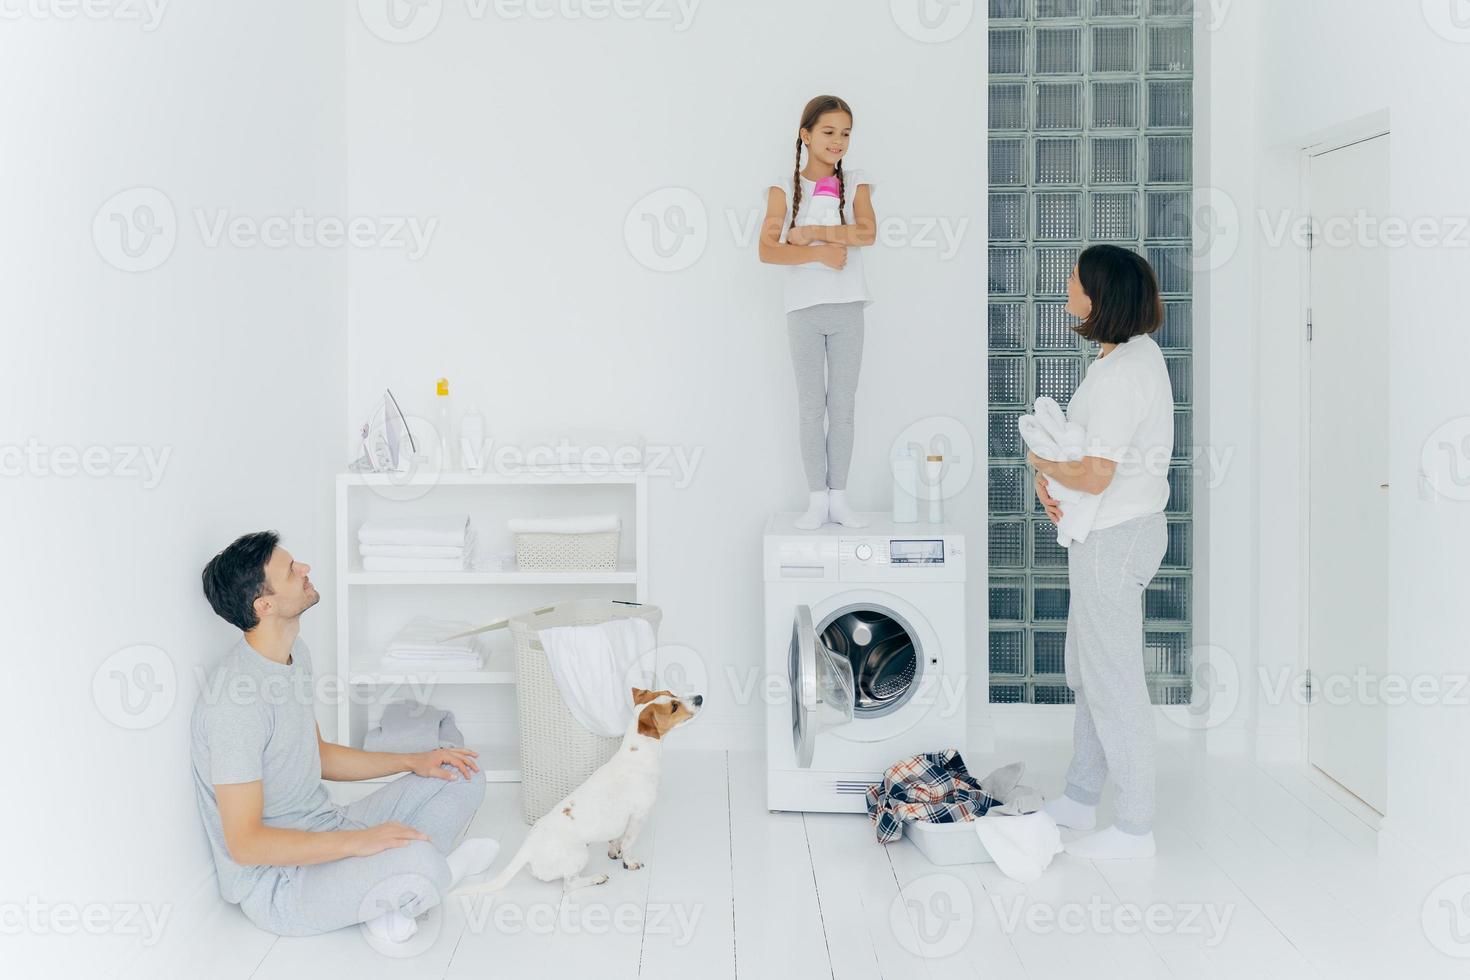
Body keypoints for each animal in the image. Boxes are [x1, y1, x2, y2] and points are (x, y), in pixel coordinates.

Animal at [455, 690, 702, 899]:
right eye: (674, 707)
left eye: (672, 693)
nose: (699, 697)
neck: (638, 753)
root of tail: (527, 848)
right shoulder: (638, 817)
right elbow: (628, 844)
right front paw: (629, 862)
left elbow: (616, 840)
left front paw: (614, 851)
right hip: (580, 854)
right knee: (569, 884)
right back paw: (596, 878)